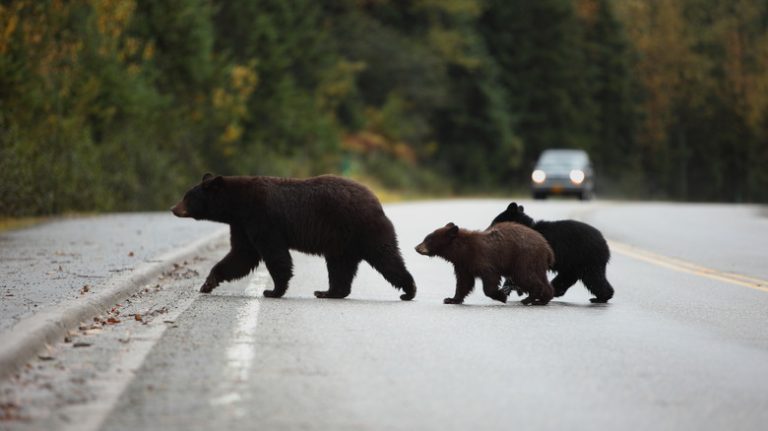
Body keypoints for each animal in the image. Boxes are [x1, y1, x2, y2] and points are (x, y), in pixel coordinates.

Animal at [172, 174, 416, 302]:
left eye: (187, 196)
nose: (173, 208)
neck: (237, 205)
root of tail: (376, 200)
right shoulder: (242, 226)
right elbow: (241, 255)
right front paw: (208, 283)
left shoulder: (262, 218)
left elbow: (274, 254)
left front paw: (272, 290)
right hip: (341, 243)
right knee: (340, 267)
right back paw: (328, 292)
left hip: (363, 229)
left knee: (386, 257)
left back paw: (409, 290)